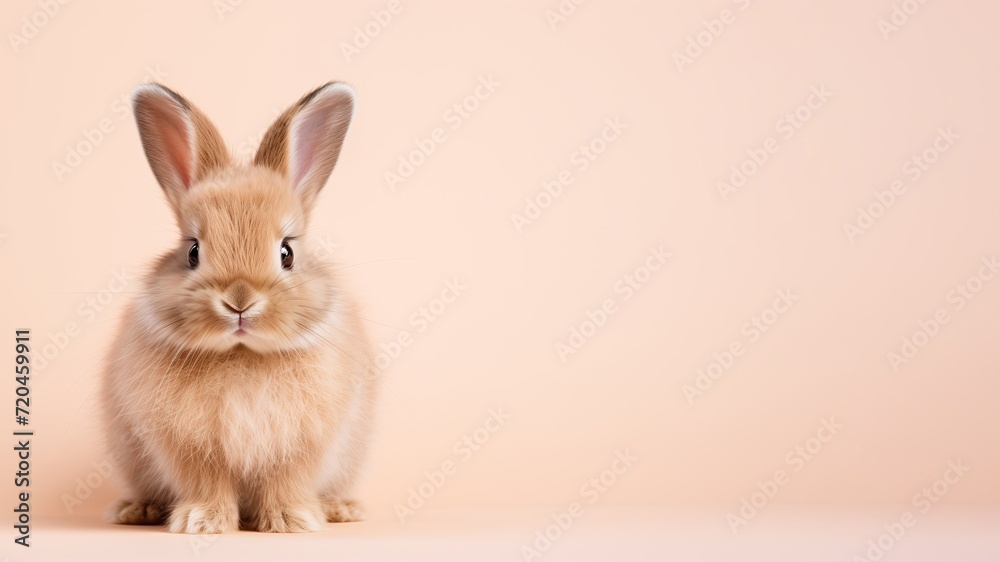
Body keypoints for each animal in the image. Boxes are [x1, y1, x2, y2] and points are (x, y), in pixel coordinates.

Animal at [100, 82, 377, 533]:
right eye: (193, 251)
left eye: (286, 253)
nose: (240, 302)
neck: (242, 354)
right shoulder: (190, 448)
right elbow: (206, 483)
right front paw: (200, 521)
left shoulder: (302, 446)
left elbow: (287, 481)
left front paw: (293, 520)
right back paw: (137, 511)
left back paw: (341, 509)